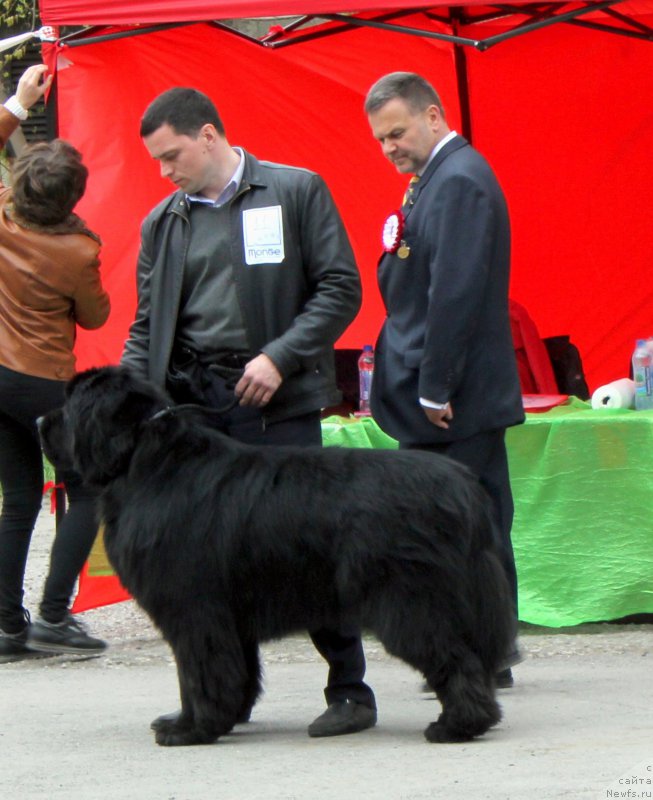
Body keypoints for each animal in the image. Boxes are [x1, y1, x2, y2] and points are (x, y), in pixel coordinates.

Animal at [43, 366, 516, 748]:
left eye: (69, 406)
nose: (38, 420)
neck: (145, 459)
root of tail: (465, 489)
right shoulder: (228, 619)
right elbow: (234, 673)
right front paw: (217, 719)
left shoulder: (194, 612)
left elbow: (198, 674)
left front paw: (189, 730)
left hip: (412, 603)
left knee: (456, 661)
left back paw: (457, 726)